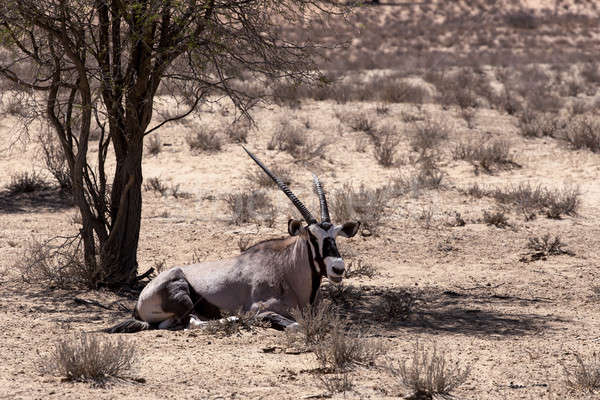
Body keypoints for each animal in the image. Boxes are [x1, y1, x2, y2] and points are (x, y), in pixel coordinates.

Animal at [103, 146, 358, 332]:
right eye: (312, 237)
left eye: (335, 236)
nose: (338, 268)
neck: (286, 269)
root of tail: (139, 302)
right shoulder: (260, 308)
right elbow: (295, 325)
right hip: (182, 295)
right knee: (188, 323)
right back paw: (233, 320)